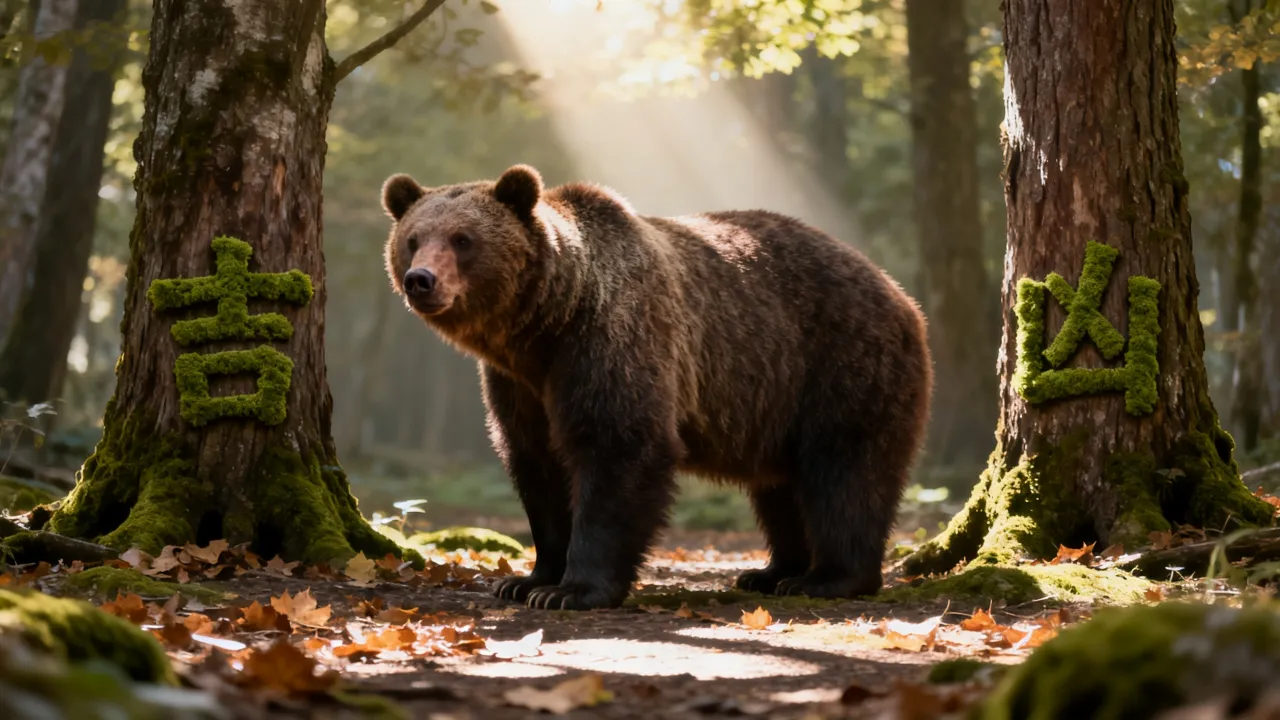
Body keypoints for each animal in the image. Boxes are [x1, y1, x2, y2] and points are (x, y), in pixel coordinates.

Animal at [380, 164, 932, 611]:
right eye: (414, 238)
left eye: (463, 239)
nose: (421, 279)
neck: (544, 325)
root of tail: (901, 295)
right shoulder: (519, 385)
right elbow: (536, 464)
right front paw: (527, 581)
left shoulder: (612, 339)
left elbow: (619, 447)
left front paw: (573, 590)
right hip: (776, 399)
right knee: (780, 486)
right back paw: (771, 571)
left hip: (840, 364)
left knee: (846, 471)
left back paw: (828, 578)